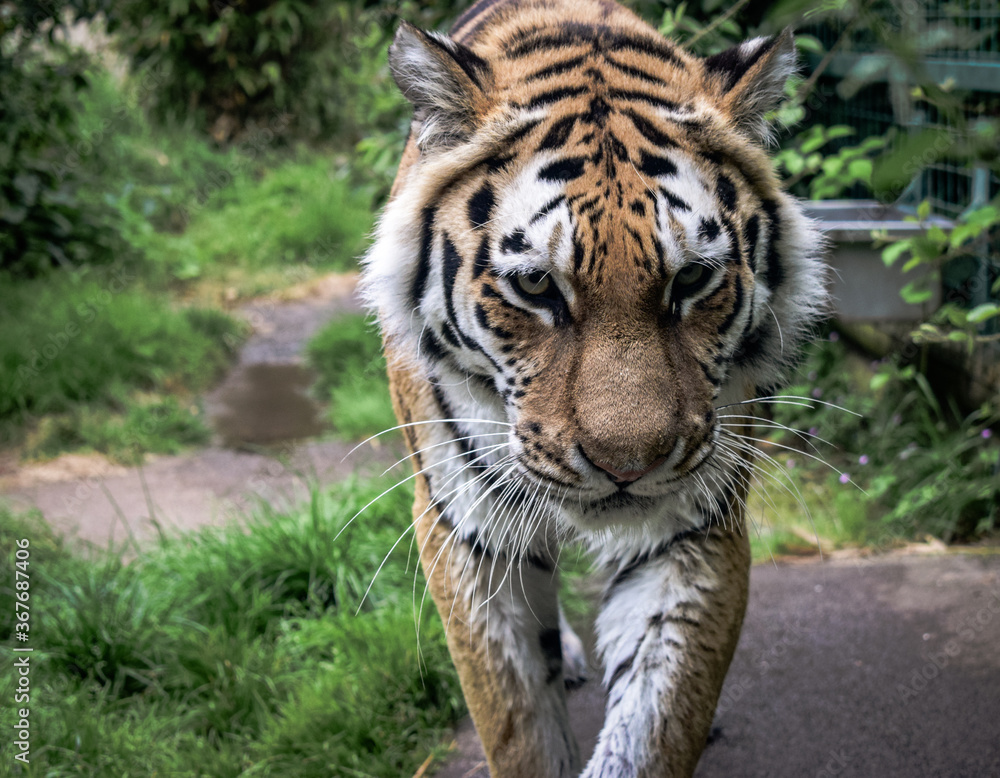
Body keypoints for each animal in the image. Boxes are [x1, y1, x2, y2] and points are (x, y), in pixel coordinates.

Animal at [361, 0, 826, 775]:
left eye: (692, 278)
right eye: (535, 286)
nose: (627, 466)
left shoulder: (692, 528)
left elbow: (657, 719)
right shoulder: (466, 532)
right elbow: (517, 720)